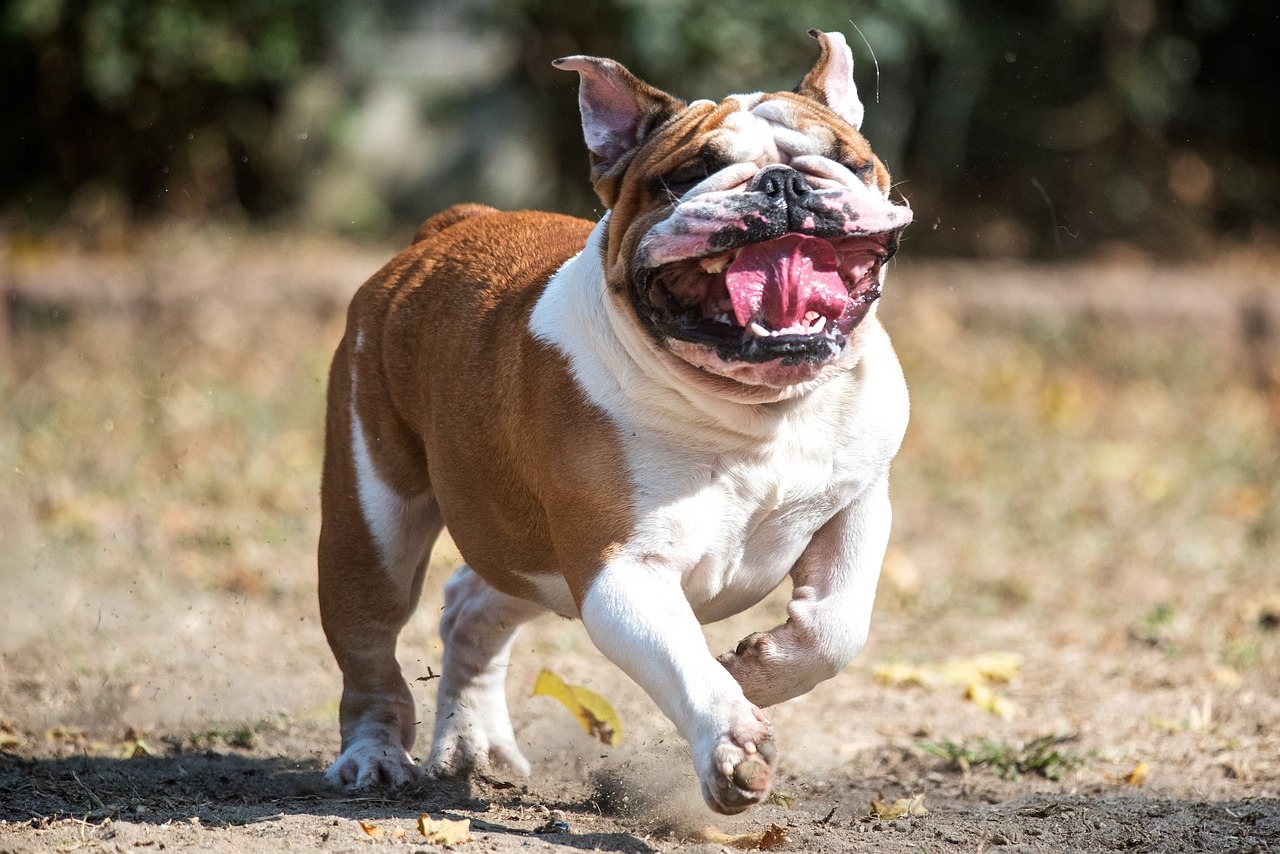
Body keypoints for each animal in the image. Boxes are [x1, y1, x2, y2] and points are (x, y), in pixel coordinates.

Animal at [317, 28, 911, 814]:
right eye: (688, 175)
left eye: (847, 160)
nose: (783, 183)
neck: (754, 414)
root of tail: (450, 227)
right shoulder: (621, 572)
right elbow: (686, 665)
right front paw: (732, 738)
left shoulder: (857, 505)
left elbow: (839, 625)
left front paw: (757, 670)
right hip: (374, 523)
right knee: (370, 643)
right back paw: (376, 756)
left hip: (527, 553)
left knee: (471, 605)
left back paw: (477, 745)